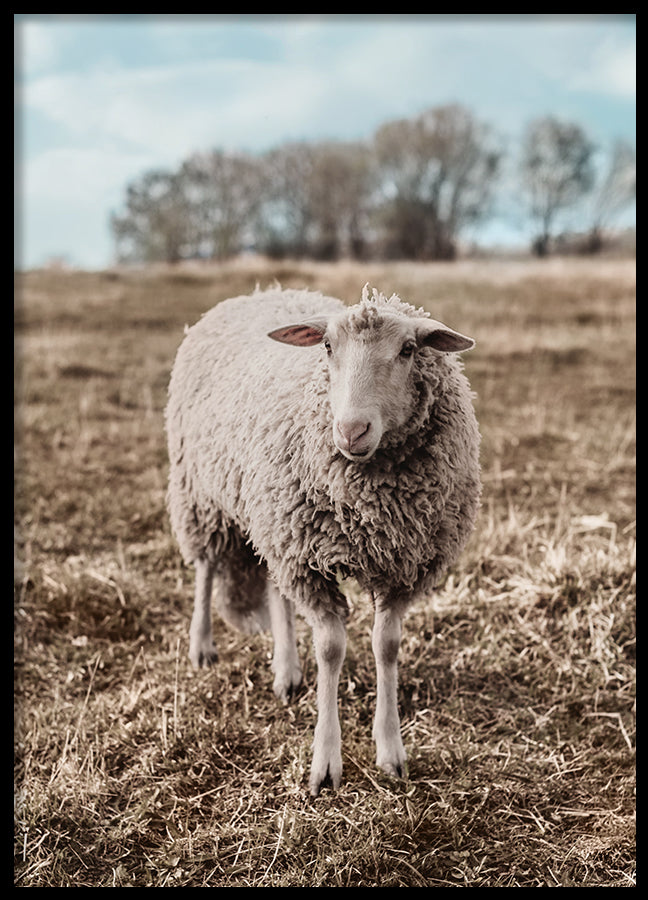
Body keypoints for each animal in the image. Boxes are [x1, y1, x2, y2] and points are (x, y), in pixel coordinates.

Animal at [165, 283, 481, 796]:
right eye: (328, 346)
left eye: (408, 349)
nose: (351, 431)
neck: (371, 506)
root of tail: (262, 291)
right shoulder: (308, 560)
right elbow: (330, 649)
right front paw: (325, 762)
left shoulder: (400, 564)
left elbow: (386, 646)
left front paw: (390, 750)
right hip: (202, 491)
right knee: (207, 566)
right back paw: (202, 646)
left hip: (275, 520)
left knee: (274, 586)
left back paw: (287, 670)